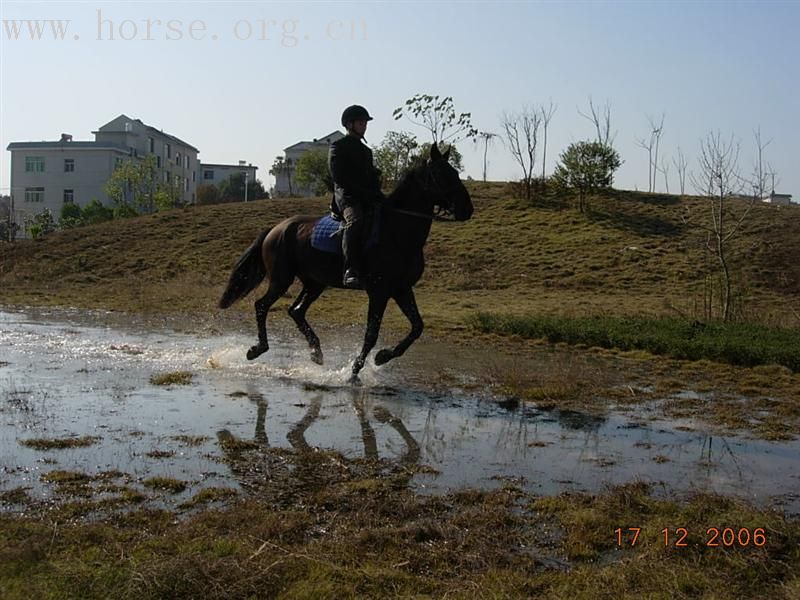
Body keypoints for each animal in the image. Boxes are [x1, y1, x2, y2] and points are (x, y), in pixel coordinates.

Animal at [216, 142, 472, 380]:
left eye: (455, 172)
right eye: (441, 174)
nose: (467, 209)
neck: (397, 230)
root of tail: (275, 229)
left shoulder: (401, 288)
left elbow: (417, 327)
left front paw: (382, 357)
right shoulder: (379, 291)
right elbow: (371, 334)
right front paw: (355, 370)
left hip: (315, 283)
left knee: (295, 311)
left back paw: (316, 353)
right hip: (282, 279)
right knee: (262, 306)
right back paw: (257, 349)